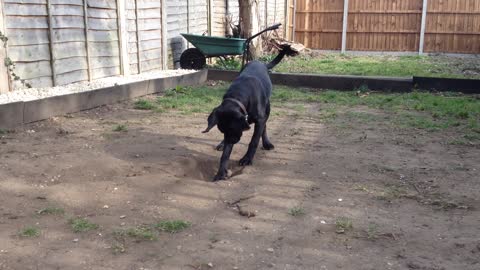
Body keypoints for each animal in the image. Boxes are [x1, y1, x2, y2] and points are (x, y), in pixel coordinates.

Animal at [202, 46, 292, 181]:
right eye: (222, 131)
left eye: (232, 129)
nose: (231, 141)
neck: (239, 95)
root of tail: (260, 63)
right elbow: (225, 154)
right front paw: (221, 172)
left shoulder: (259, 119)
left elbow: (254, 140)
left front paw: (247, 159)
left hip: (267, 108)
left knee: (264, 127)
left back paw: (266, 143)